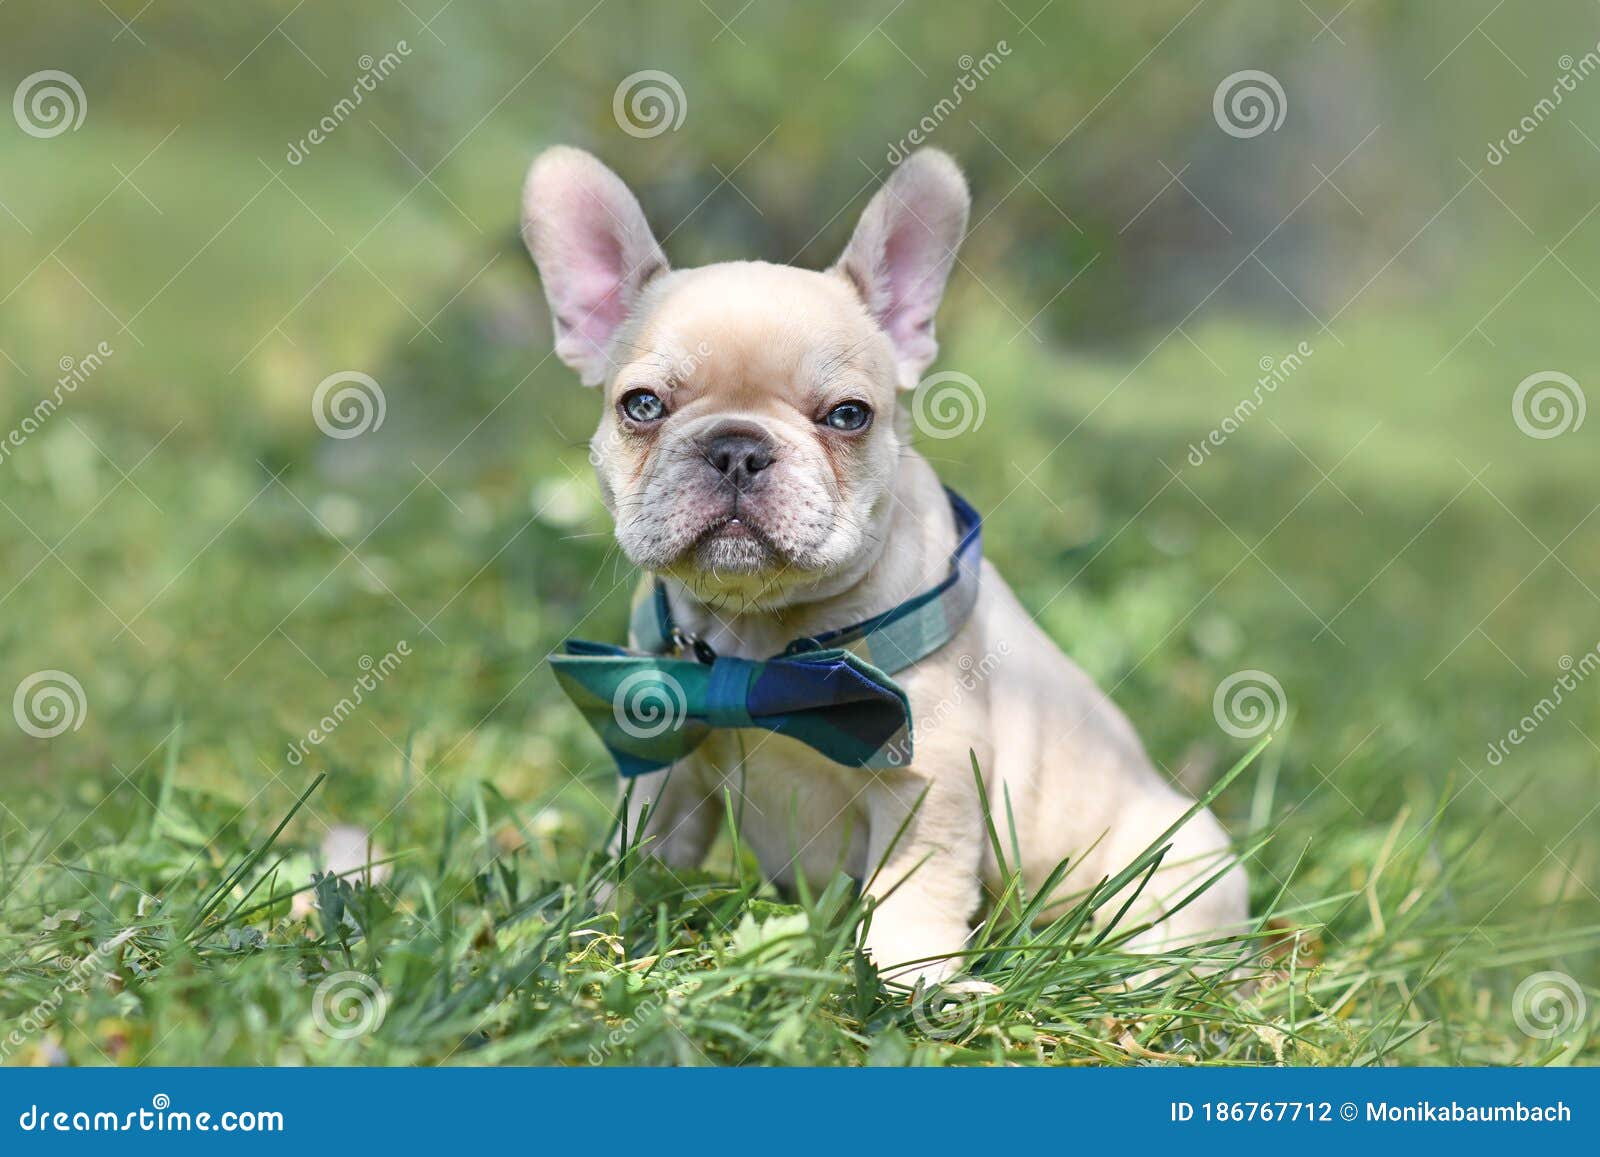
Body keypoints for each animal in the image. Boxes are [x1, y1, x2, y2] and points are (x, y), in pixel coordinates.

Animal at [524, 144, 1248, 985]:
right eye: (640, 406)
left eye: (848, 415)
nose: (737, 447)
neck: (757, 637)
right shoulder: (659, 761)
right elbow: (636, 849)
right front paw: (592, 927)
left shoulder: (928, 782)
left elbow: (912, 887)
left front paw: (912, 978)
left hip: (1183, 861)